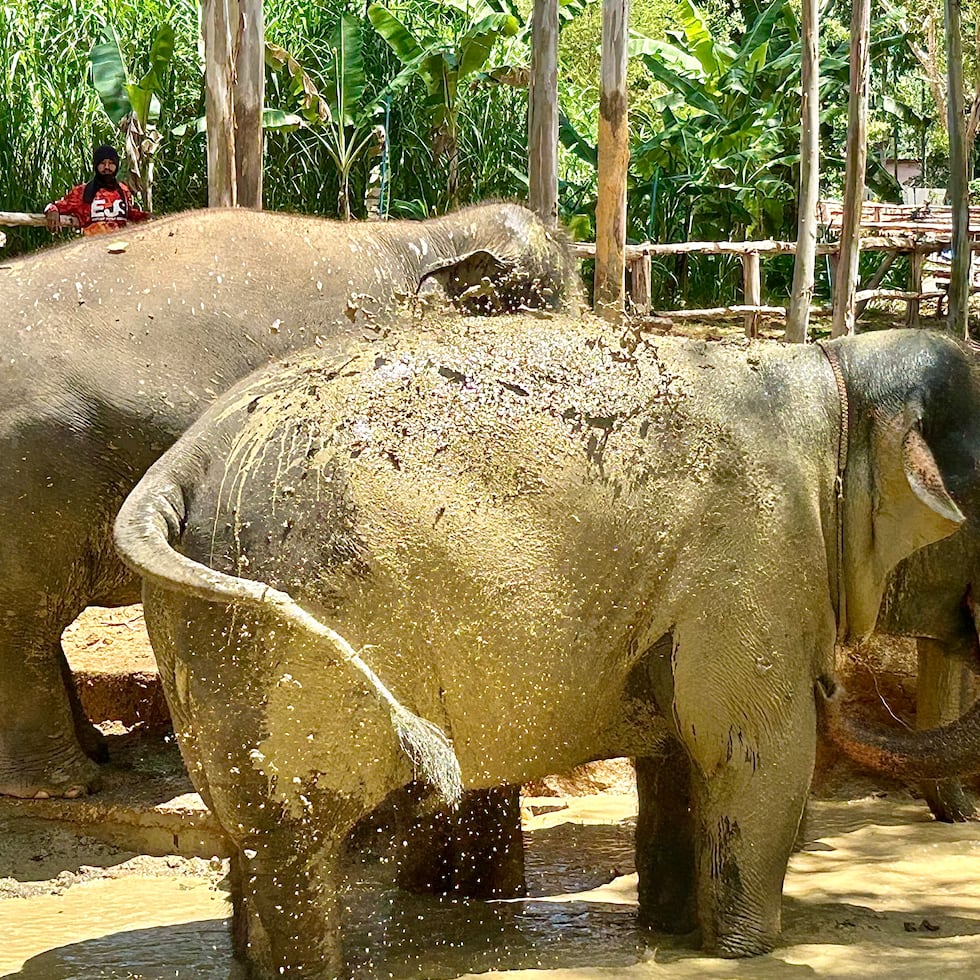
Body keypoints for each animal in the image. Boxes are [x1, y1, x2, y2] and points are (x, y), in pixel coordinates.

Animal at [114, 314, 980, 974]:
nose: (836, 687)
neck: (838, 371)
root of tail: (179, 464)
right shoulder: (759, 557)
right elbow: (753, 748)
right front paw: (746, 953)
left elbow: (677, 751)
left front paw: (671, 933)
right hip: (289, 622)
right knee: (296, 836)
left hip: (207, 631)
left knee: (247, 828)